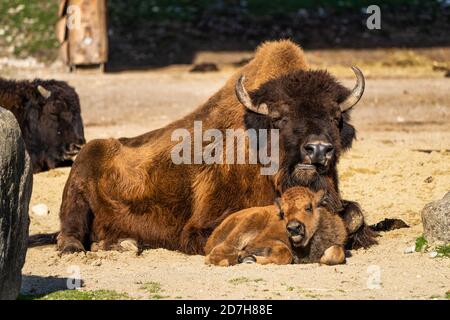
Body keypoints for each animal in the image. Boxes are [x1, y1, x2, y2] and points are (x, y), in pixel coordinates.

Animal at [51, 40, 376, 255]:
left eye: (336, 118)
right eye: (279, 118)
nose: (318, 150)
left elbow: (354, 215)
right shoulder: (202, 225)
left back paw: (125, 243)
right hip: (80, 175)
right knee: (69, 227)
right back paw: (78, 248)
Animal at [206, 186, 346, 266]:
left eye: (308, 207)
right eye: (283, 213)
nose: (293, 228)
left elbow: (337, 254)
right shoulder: (260, 242)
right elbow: (285, 253)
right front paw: (250, 257)